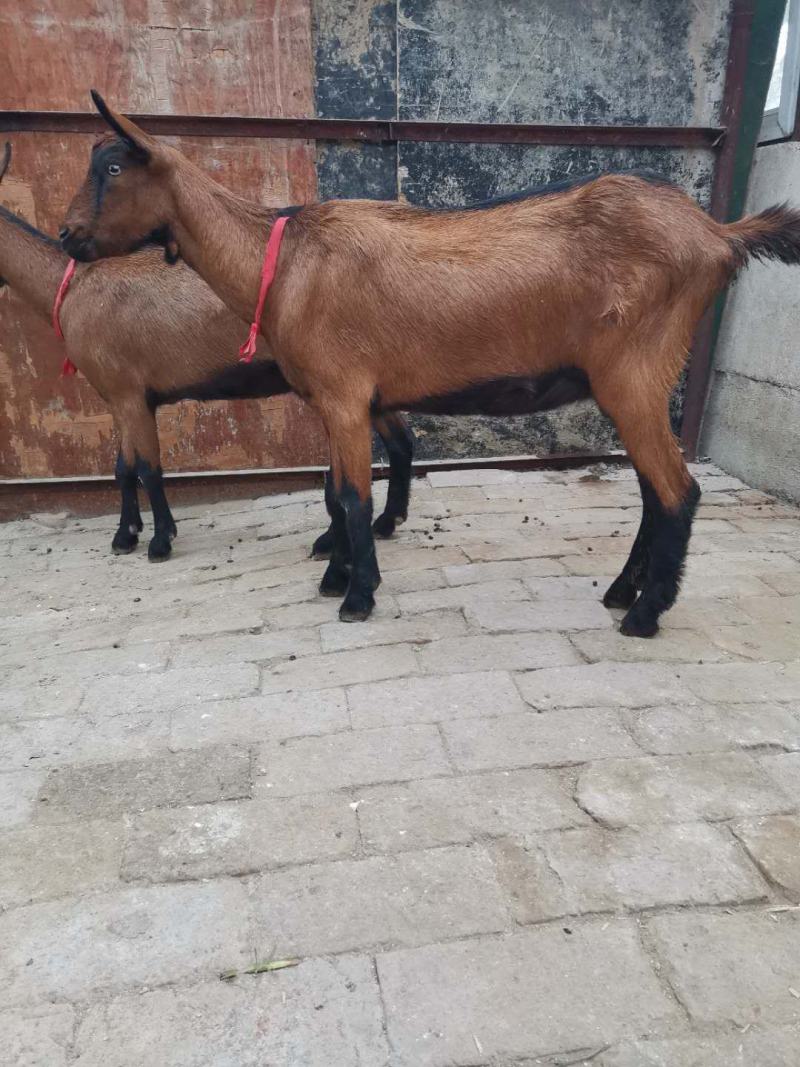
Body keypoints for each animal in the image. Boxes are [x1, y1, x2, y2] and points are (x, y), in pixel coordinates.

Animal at [60, 92, 800, 635]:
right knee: (654, 491)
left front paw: (356, 596)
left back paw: (644, 615)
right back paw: (622, 592)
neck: (286, 262)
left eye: (114, 169)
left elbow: (352, 497)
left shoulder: (342, 393)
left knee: (677, 493)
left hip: (636, 372)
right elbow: (335, 490)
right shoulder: (340, 400)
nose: (68, 235)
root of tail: (718, 234)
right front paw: (339, 573)